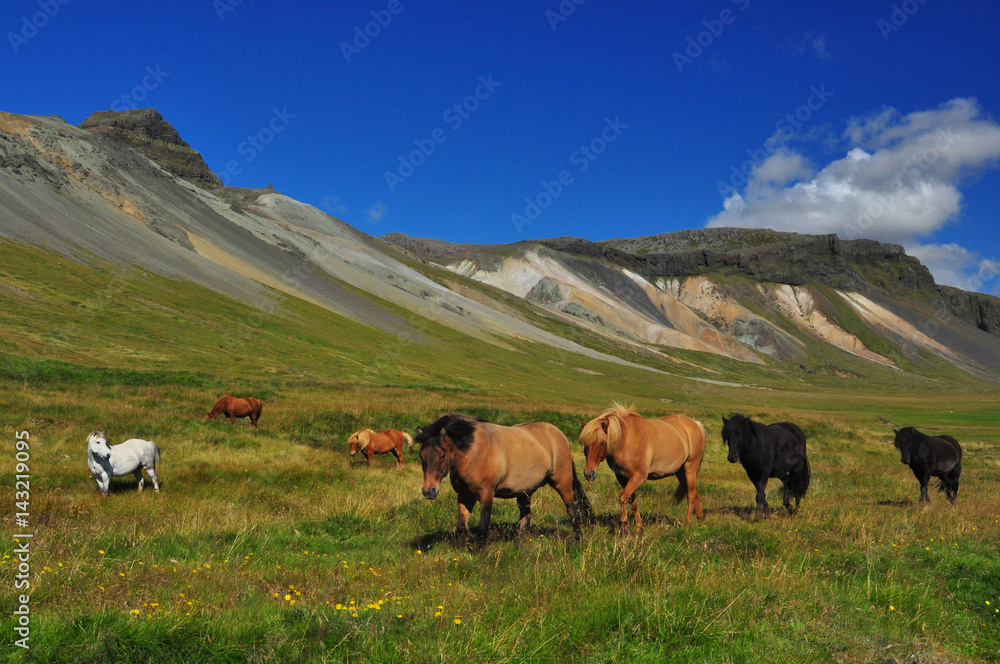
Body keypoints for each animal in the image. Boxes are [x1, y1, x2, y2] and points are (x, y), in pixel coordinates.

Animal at [416, 414, 593, 543]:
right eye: (421, 455)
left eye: (442, 455)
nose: (428, 491)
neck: (474, 451)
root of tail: (560, 436)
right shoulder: (465, 496)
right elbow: (461, 526)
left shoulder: (486, 494)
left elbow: (483, 527)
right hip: (525, 492)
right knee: (525, 517)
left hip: (563, 483)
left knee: (573, 510)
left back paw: (578, 541)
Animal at [580, 404, 706, 532]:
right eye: (585, 443)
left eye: (602, 443)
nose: (589, 474)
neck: (627, 439)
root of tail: (695, 424)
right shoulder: (622, 477)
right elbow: (632, 501)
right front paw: (639, 528)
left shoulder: (638, 476)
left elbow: (622, 498)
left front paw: (625, 525)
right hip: (681, 472)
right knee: (694, 492)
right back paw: (700, 520)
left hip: (690, 468)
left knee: (691, 495)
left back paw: (688, 523)